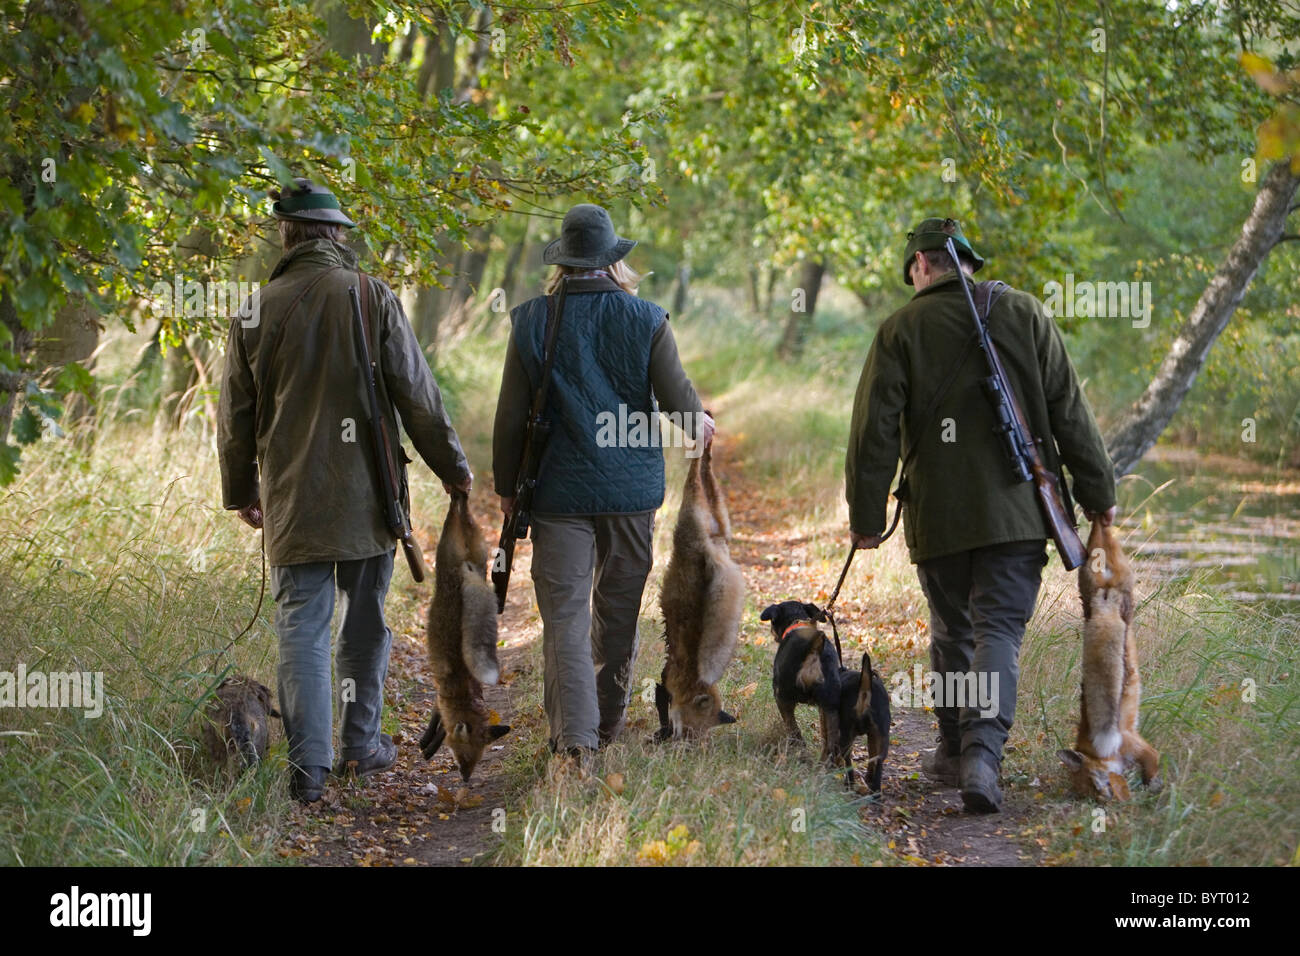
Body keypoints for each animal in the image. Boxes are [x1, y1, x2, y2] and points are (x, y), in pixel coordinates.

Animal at [421, 496, 512, 780]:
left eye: (478, 758)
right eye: (463, 757)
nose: (465, 777)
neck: (463, 691)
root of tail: (466, 571)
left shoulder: (442, 697)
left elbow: (440, 723)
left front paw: (428, 745)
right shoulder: (442, 694)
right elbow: (439, 721)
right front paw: (428, 743)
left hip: (461, 551)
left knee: (457, 509)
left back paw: (458, 495)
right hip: (466, 550)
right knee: (460, 511)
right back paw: (459, 495)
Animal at [655, 442, 748, 738]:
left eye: (694, 735)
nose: (679, 741)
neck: (691, 679)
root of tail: (711, 549)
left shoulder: (667, 678)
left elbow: (661, 697)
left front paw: (661, 731)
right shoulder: (670, 680)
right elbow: (662, 700)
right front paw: (662, 731)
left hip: (711, 512)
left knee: (703, 474)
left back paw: (704, 447)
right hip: (696, 509)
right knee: (698, 475)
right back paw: (702, 448)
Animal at [1060, 515, 1164, 801]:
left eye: (1092, 782)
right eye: (1086, 790)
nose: (1103, 798)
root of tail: (1102, 602)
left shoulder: (1132, 742)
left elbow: (1153, 760)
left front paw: (1153, 787)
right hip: (1104, 577)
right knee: (1101, 529)